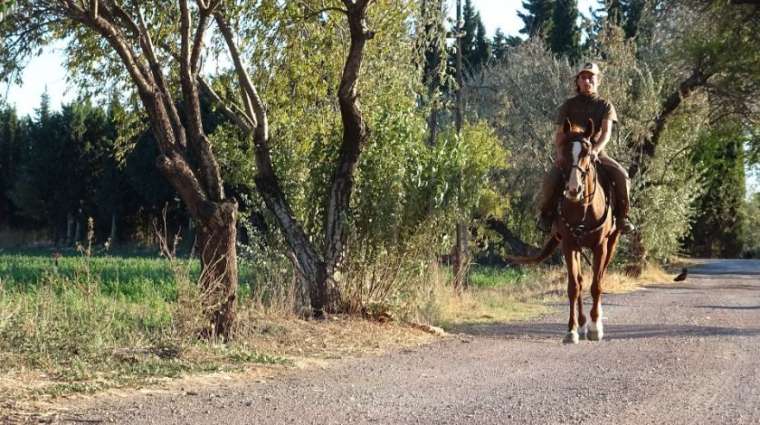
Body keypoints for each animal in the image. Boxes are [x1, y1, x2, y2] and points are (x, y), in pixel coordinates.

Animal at [508, 117, 620, 342]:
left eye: (586, 152)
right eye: (564, 152)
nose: (573, 189)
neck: (583, 208)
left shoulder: (600, 246)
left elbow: (596, 285)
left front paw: (595, 327)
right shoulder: (568, 245)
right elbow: (574, 287)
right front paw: (572, 330)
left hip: (611, 243)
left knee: (599, 276)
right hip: (576, 247)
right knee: (580, 280)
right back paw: (582, 322)